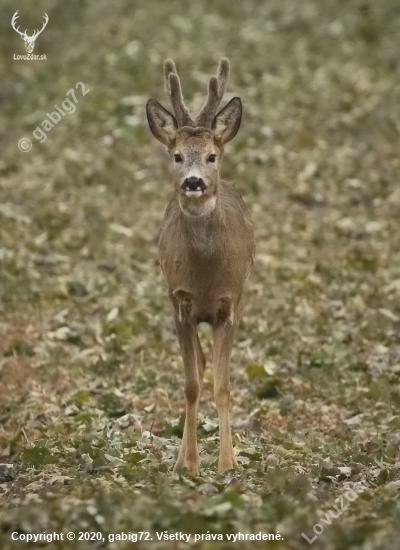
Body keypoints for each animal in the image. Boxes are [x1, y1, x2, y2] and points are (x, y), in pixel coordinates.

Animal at [145, 58, 255, 476]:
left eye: (212, 156)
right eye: (177, 156)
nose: (193, 182)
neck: (206, 274)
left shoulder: (230, 304)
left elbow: (223, 386)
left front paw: (227, 462)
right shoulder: (181, 302)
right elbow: (191, 384)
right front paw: (188, 464)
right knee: (199, 367)